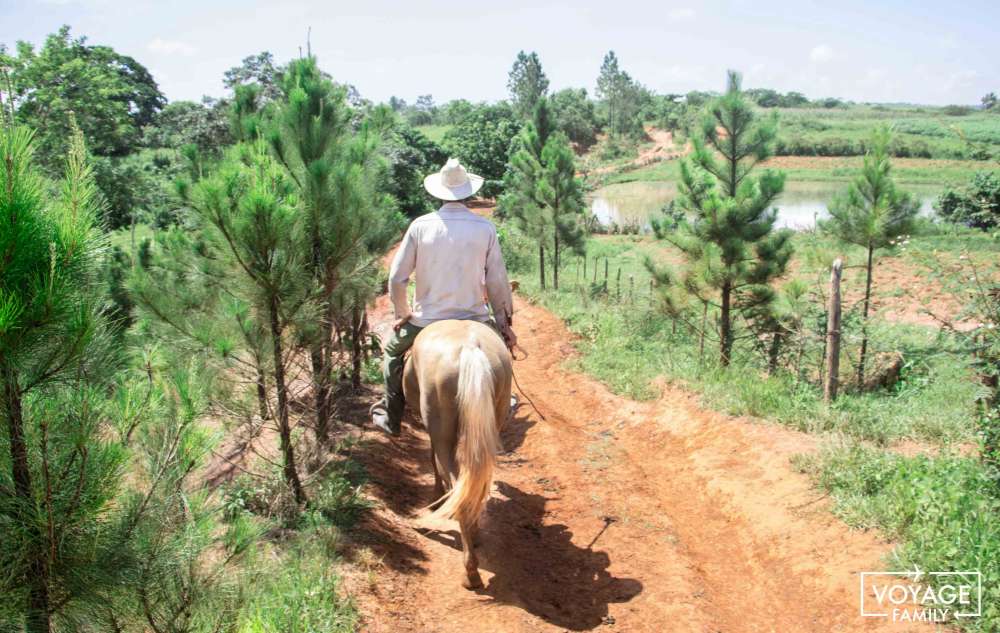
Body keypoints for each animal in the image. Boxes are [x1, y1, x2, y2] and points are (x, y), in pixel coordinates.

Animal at [404, 318, 516, 592]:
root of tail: (470, 348)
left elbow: (433, 461)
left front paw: (435, 499)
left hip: (440, 424)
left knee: (452, 476)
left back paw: (471, 573)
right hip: (491, 420)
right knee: (477, 480)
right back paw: (474, 536)